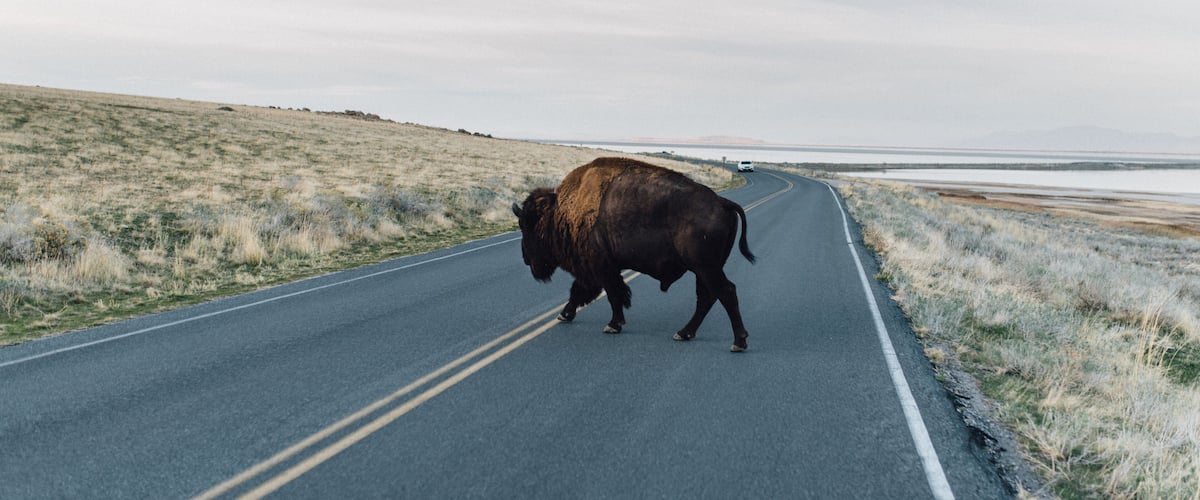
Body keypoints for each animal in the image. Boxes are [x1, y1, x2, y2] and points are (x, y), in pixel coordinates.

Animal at [511, 157, 755, 352]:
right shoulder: (597, 269)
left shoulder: (601, 267)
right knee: (707, 296)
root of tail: (722, 202)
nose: (525, 258)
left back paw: (738, 342)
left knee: (725, 292)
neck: (560, 211)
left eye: (526, 226)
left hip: (705, 267)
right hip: (704, 269)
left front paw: (612, 325)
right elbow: (581, 291)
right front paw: (565, 314)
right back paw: (684, 333)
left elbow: (612, 294)